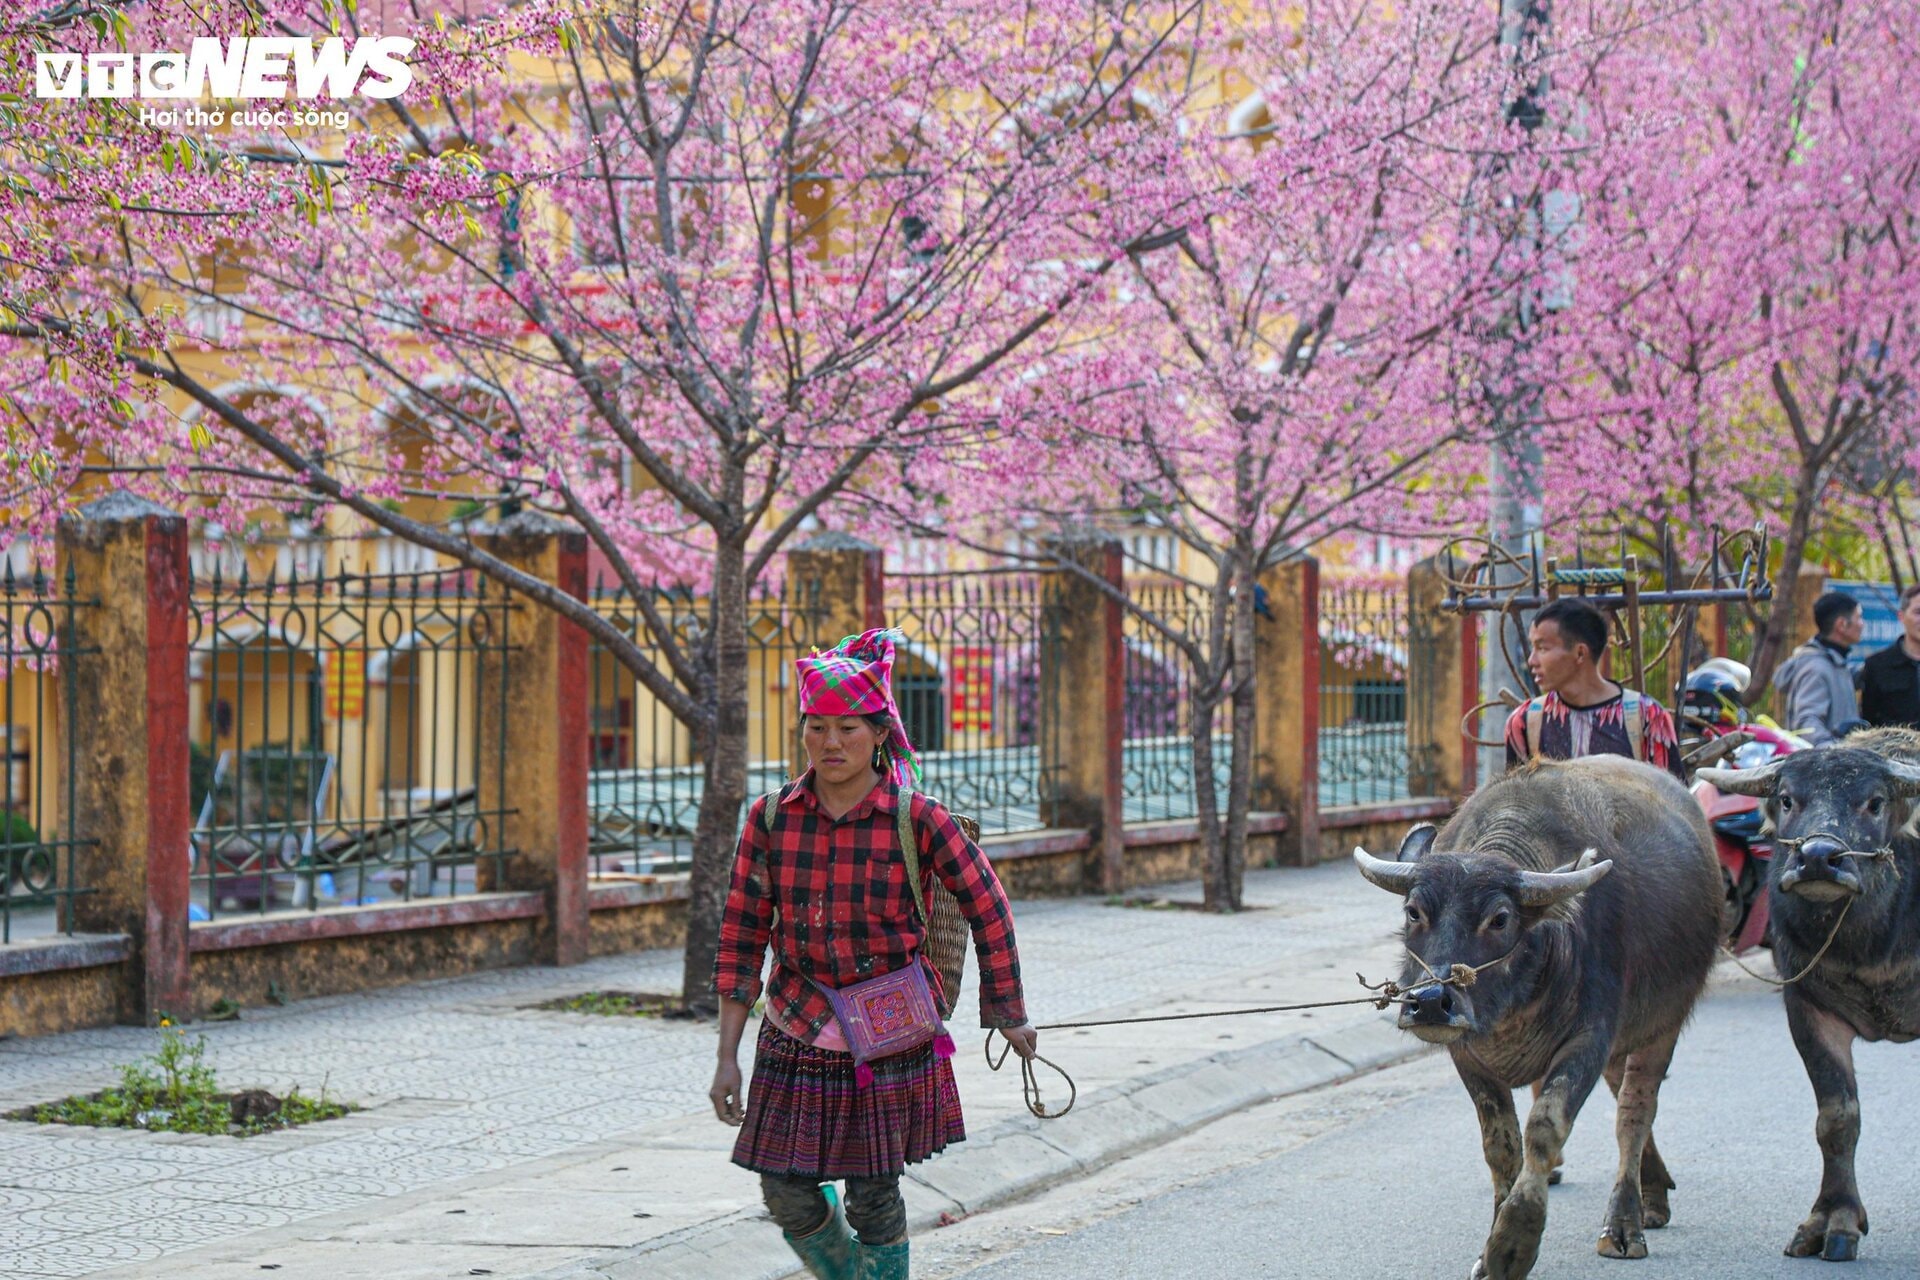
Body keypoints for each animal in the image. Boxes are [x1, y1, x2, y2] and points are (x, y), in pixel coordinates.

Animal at [1359, 756, 1720, 1274]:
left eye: (1500, 918)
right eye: (1413, 911)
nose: (1429, 1001)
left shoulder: (1589, 1040)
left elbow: (1544, 1131)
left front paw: (1513, 1244)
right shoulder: (1469, 1056)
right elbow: (1501, 1146)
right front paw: (1489, 1247)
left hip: (1663, 1024)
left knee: (1634, 1113)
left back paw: (1624, 1223)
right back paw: (1654, 1193)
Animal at [1697, 729, 1920, 1258]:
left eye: (1875, 801)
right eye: (1787, 798)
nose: (1819, 857)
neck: (1870, 947)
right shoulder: (1808, 1010)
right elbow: (1837, 1118)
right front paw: (1833, 1221)